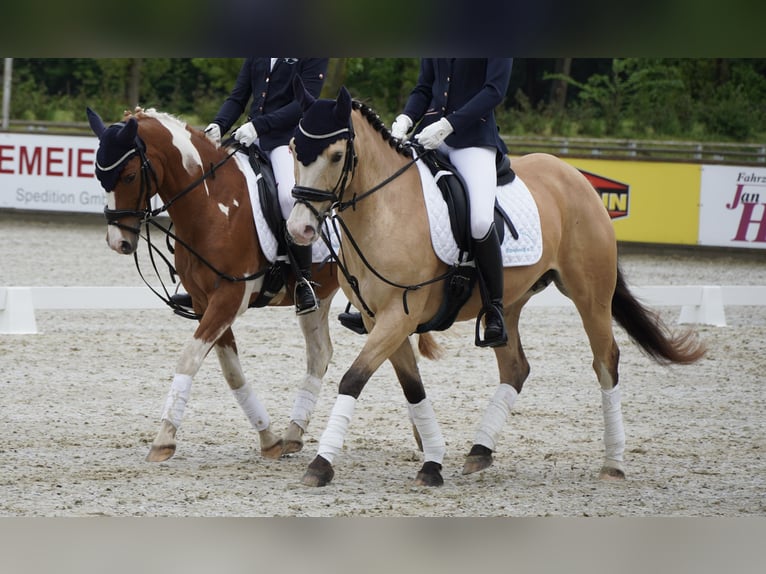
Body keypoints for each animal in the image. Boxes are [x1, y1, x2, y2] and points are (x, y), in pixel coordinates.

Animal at [85, 107, 340, 464]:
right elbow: (231, 371)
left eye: (131, 176)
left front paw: (163, 440)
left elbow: (189, 358)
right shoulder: (206, 301)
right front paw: (268, 438)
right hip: (322, 297)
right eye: (99, 177)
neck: (213, 205)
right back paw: (292, 435)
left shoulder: (230, 298)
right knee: (319, 354)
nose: (118, 242)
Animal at [284, 79, 704, 488]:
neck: (386, 211)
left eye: (336, 155)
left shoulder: (399, 316)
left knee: (606, 361)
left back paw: (613, 463)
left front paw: (321, 463)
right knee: (516, 367)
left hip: (591, 297)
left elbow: (353, 378)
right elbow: (412, 387)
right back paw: (480, 450)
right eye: (293, 149)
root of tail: (576, 178)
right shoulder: (377, 319)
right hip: (509, 301)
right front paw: (433, 461)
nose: (299, 228)